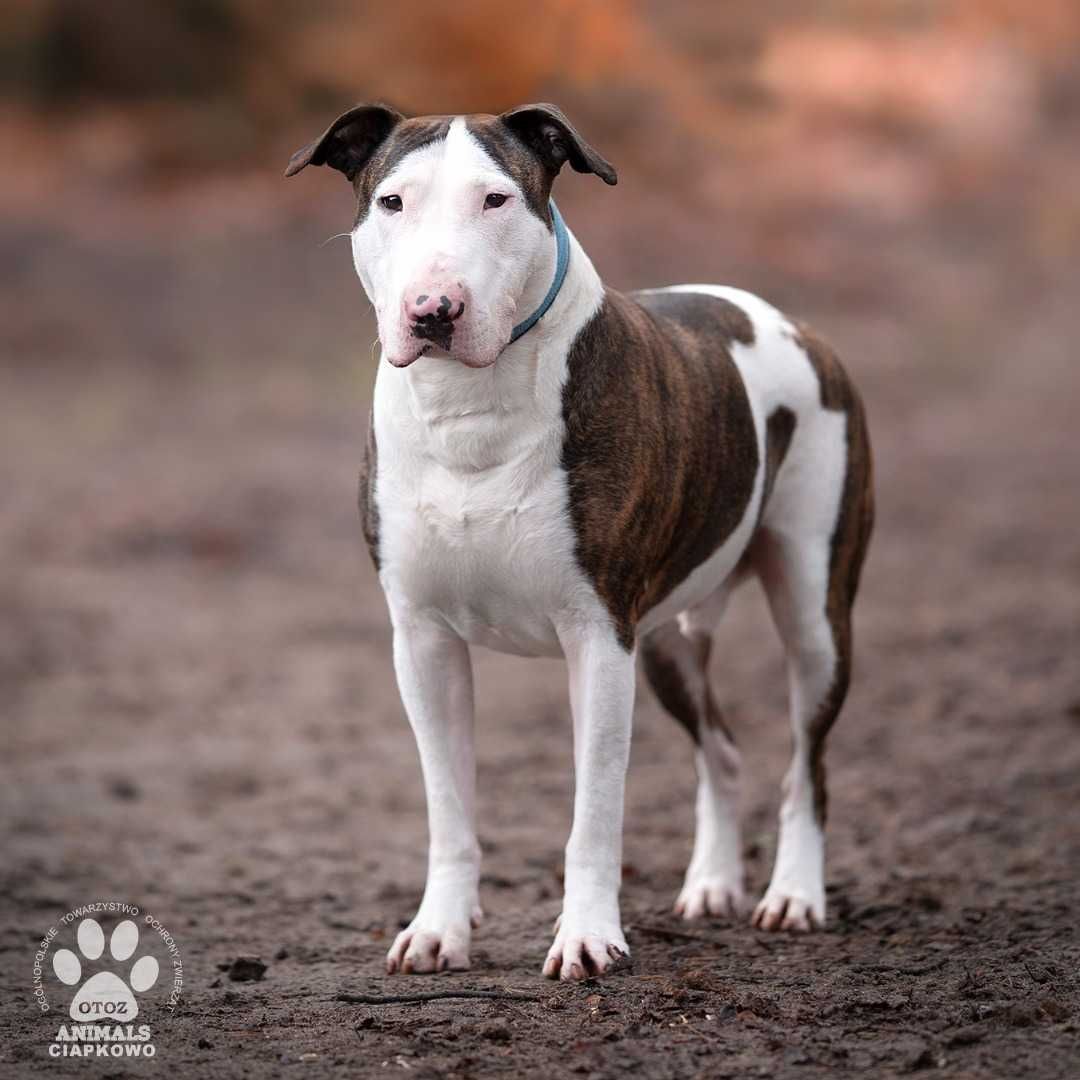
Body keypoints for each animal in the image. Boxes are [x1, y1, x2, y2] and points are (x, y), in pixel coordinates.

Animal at [289, 101, 876, 980]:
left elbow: (594, 811)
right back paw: (712, 885)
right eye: (391, 202)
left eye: (496, 199)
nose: (433, 308)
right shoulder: (422, 642)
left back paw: (794, 895)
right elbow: (447, 805)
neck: (472, 405)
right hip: (667, 641)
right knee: (723, 750)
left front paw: (589, 937)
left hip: (814, 614)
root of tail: (793, 324)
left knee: (807, 765)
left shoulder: (598, 639)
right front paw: (439, 929)